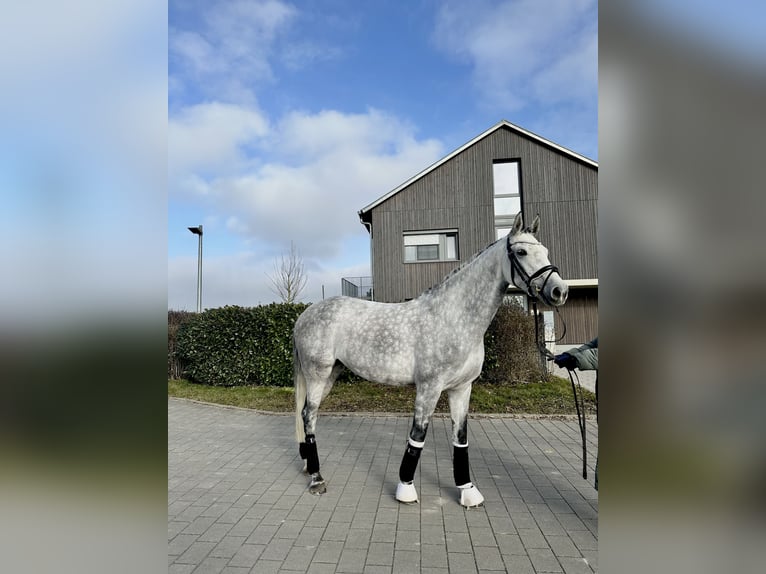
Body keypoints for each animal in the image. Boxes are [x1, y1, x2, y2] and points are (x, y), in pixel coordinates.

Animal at [294, 215, 568, 508]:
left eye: (545, 251)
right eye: (521, 252)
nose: (560, 291)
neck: (452, 317)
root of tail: (304, 316)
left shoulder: (462, 388)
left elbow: (460, 438)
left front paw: (468, 491)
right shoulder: (429, 387)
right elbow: (417, 437)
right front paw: (405, 489)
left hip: (331, 374)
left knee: (307, 414)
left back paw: (308, 467)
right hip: (317, 374)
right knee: (309, 415)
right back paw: (317, 479)